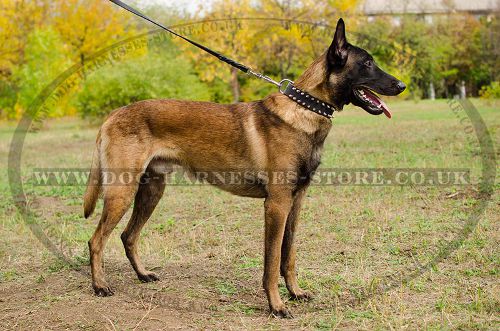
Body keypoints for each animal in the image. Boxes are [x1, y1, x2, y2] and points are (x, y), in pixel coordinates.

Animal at [85, 18, 406, 320]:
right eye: (367, 63)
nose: (402, 85)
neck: (305, 108)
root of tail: (113, 114)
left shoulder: (296, 202)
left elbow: (289, 256)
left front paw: (295, 292)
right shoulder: (276, 205)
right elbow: (272, 261)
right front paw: (276, 306)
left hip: (151, 192)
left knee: (128, 236)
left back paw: (142, 275)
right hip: (122, 192)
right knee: (96, 240)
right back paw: (100, 286)